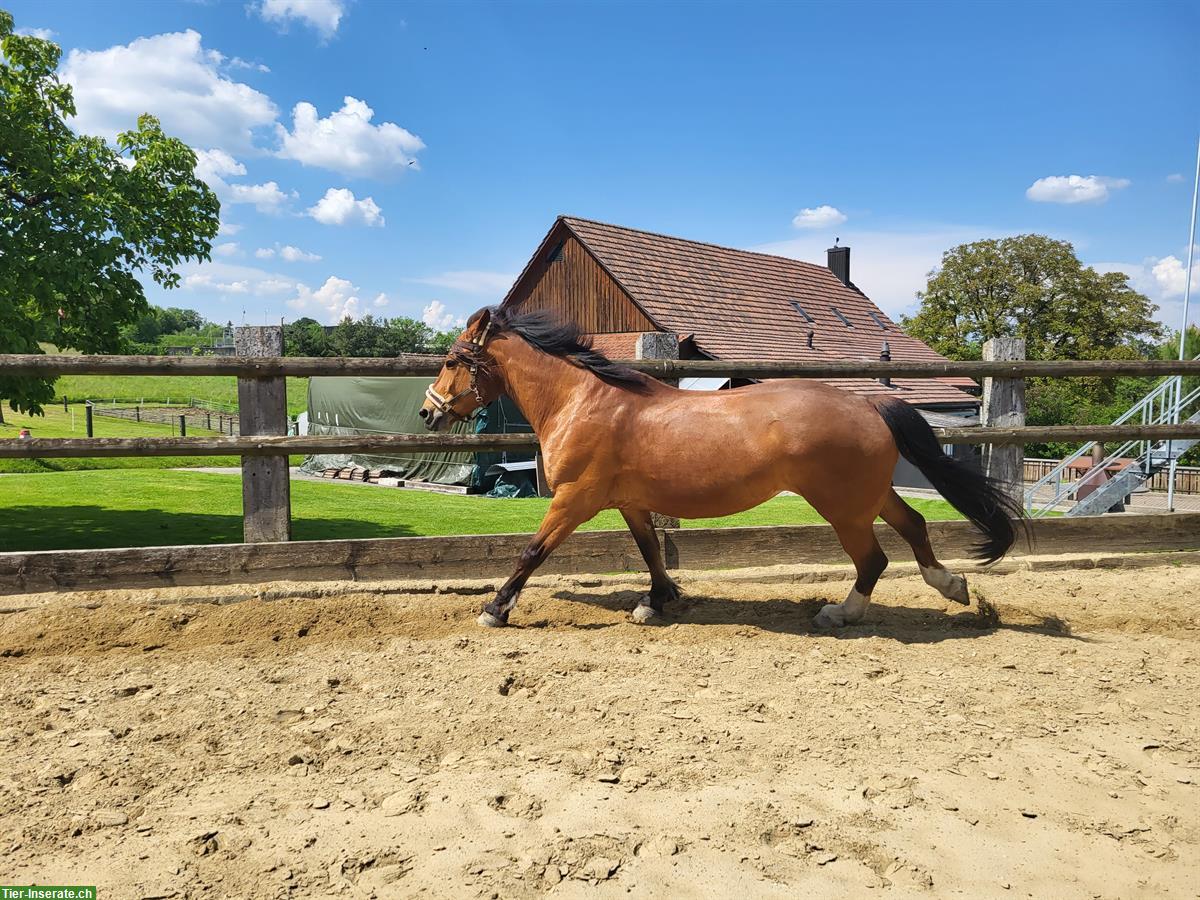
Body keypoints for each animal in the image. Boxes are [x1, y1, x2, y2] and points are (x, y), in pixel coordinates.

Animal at [422, 307, 1022, 628]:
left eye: (451, 360)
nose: (429, 412)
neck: (584, 401)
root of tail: (871, 404)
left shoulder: (576, 498)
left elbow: (533, 551)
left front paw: (495, 609)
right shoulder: (629, 502)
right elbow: (651, 550)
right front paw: (656, 602)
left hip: (844, 507)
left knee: (872, 559)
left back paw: (840, 613)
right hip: (868, 496)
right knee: (915, 526)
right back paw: (954, 587)